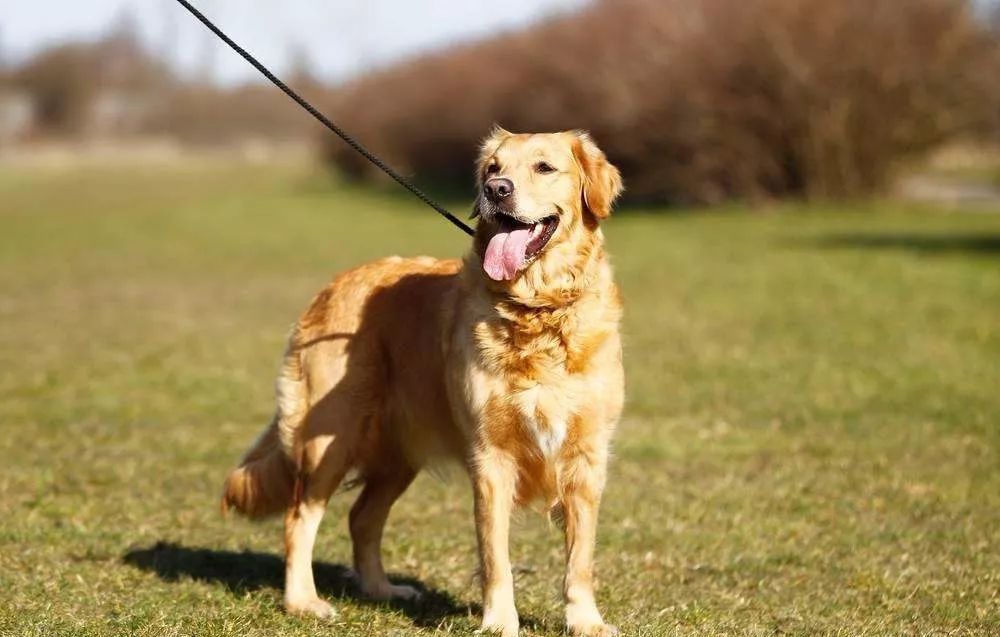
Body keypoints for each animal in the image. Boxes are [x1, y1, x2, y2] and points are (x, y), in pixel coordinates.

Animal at [223, 129, 620, 636]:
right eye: (493, 168)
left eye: (544, 167)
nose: (496, 191)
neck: (537, 310)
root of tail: (332, 285)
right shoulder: (490, 457)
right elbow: (495, 556)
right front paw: (499, 622)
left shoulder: (587, 458)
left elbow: (580, 558)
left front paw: (586, 620)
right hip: (331, 441)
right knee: (300, 517)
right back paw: (304, 602)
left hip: (398, 454)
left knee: (362, 517)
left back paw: (381, 589)